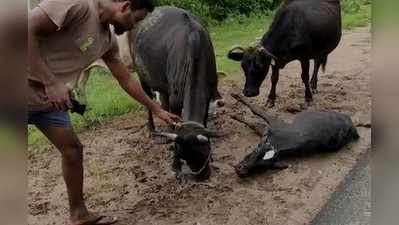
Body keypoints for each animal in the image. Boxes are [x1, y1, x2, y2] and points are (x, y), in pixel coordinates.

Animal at [129, 6, 222, 180]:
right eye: (184, 156)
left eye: (204, 152)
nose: (202, 176)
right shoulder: (176, 100)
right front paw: (174, 166)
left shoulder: (207, 96)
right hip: (142, 76)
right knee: (148, 101)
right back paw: (151, 129)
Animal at [231, 93, 360, 178]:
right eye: (256, 152)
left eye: (262, 166)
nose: (241, 170)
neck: (279, 144)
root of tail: (351, 124)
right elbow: (256, 111)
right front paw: (235, 97)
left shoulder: (272, 124)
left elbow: (255, 116)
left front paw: (235, 115)